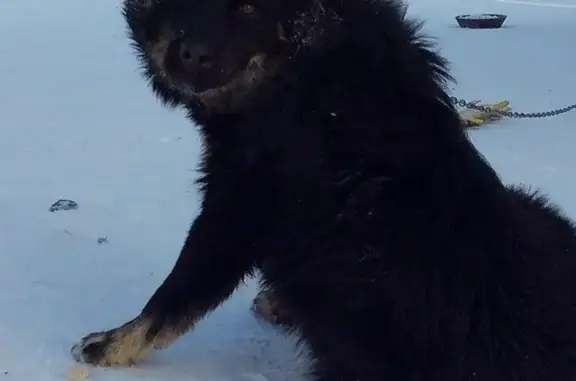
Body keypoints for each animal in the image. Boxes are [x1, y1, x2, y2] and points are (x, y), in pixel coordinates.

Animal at [72, 0, 576, 378]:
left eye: (250, 7)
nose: (193, 55)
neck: (306, 72)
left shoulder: (237, 207)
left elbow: (174, 296)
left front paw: (112, 345)